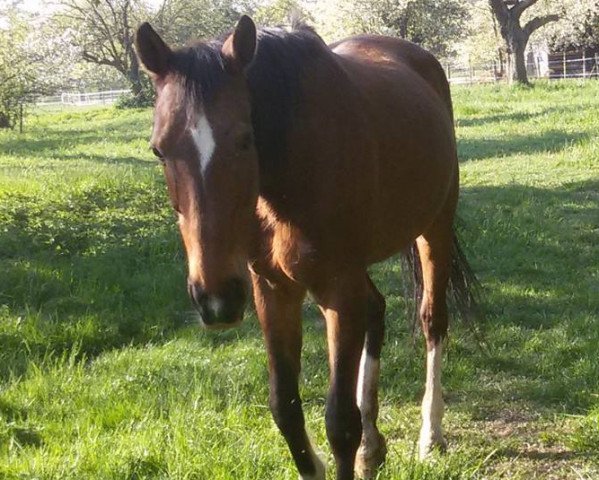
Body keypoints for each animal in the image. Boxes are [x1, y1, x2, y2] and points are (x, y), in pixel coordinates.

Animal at [135, 15, 478, 480]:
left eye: (245, 139)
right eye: (159, 150)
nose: (217, 300)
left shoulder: (337, 289)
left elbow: (340, 422)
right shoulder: (273, 289)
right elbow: (285, 407)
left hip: (434, 229)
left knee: (432, 322)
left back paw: (431, 434)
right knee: (376, 310)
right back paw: (373, 447)